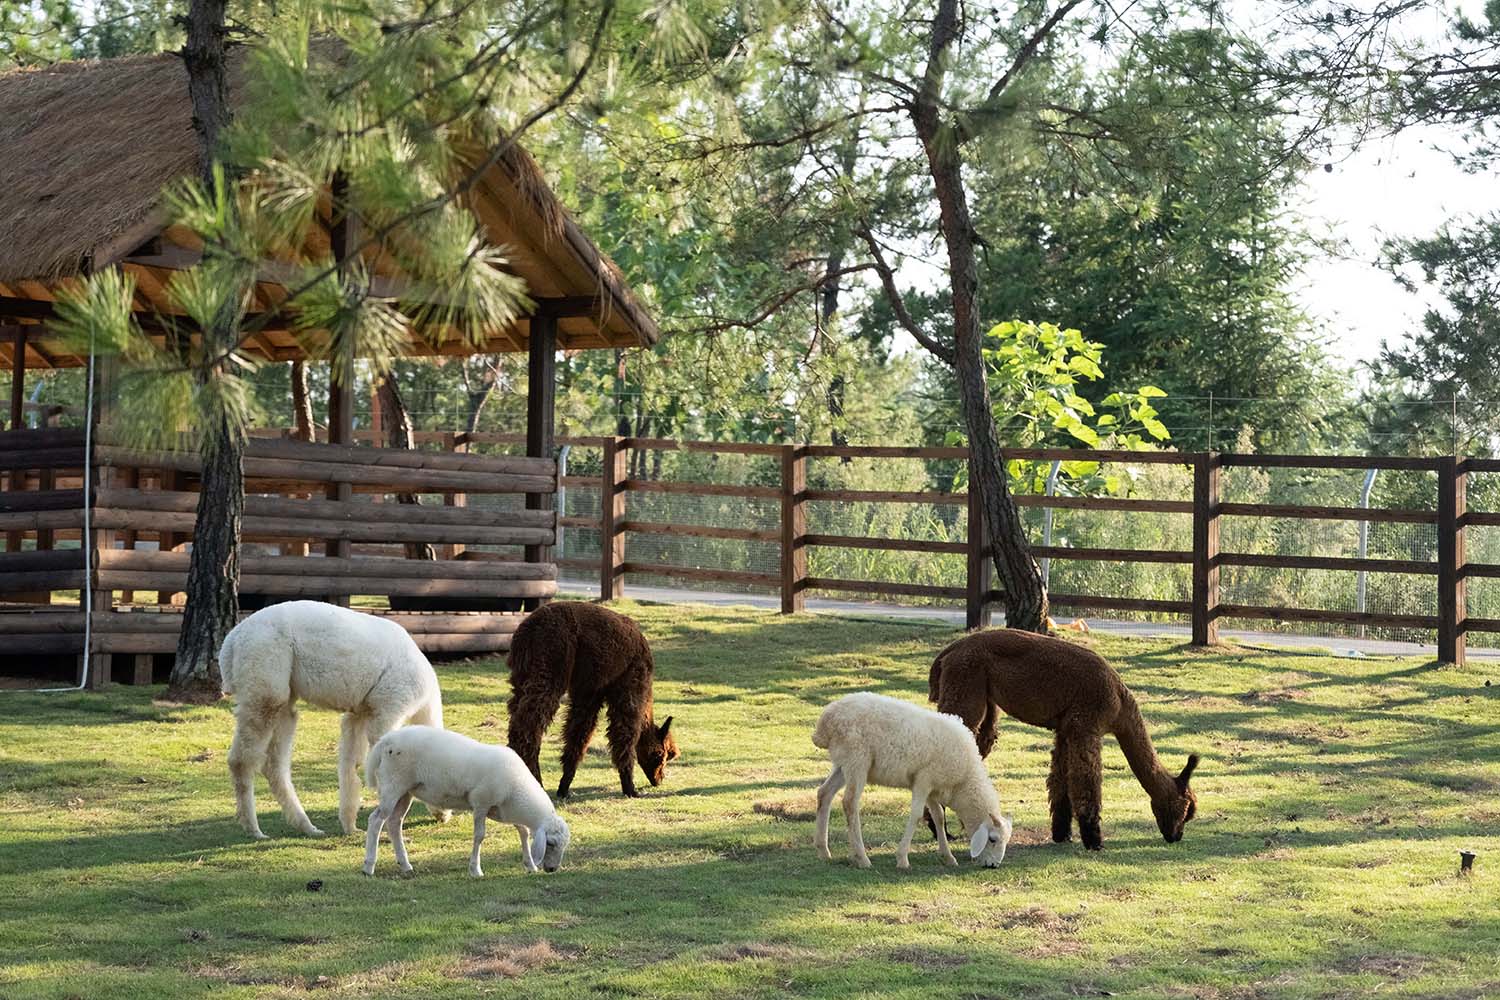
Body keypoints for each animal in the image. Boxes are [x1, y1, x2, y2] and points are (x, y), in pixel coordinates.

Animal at [219, 599, 444, 839]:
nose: (445, 816)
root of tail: (231, 641)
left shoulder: (359, 712)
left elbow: (350, 765)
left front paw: (351, 826)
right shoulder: (389, 706)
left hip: (283, 698)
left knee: (273, 764)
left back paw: (308, 827)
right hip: (264, 677)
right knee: (241, 759)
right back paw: (254, 829)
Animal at [360, 728, 570, 875]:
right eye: (550, 843)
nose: (552, 869)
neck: (516, 790)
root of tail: (385, 741)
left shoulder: (505, 810)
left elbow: (524, 832)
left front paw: (530, 865)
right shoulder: (481, 803)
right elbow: (480, 836)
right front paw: (475, 870)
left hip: (405, 791)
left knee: (394, 822)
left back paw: (405, 864)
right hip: (392, 785)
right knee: (376, 820)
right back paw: (369, 866)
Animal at [816, 695, 1014, 869]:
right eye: (993, 839)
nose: (993, 866)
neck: (963, 782)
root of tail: (826, 720)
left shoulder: (933, 787)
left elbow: (938, 816)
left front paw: (948, 856)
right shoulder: (923, 780)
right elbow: (917, 815)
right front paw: (902, 858)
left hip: (843, 763)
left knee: (824, 793)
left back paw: (823, 851)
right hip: (857, 759)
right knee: (850, 803)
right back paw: (862, 858)